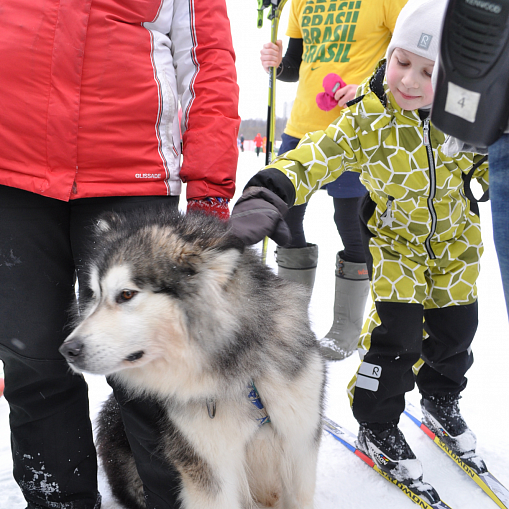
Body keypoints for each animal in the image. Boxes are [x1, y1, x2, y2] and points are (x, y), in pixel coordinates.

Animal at [60, 208, 326, 508]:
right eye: (95, 295)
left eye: (126, 294)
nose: (68, 350)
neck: (244, 376)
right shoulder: (209, 468)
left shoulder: (300, 446)